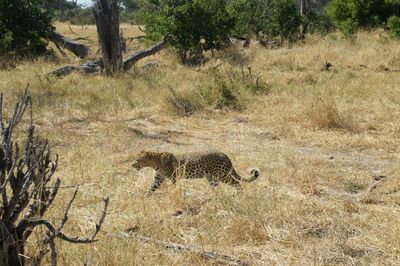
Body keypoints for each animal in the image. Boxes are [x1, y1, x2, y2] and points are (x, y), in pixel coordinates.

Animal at [132, 151, 260, 194]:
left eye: (138, 159)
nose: (132, 164)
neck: (155, 163)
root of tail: (225, 155)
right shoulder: (158, 178)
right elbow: (151, 188)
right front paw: (145, 196)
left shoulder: (174, 177)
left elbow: (174, 186)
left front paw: (174, 193)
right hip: (212, 177)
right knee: (216, 186)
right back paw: (213, 196)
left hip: (223, 175)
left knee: (237, 183)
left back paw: (240, 194)